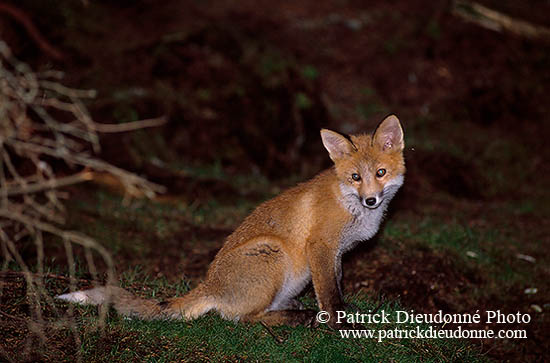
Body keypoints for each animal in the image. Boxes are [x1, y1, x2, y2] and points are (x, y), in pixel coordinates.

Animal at [58, 114, 408, 330]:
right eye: (355, 177)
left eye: (380, 173)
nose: (371, 200)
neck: (349, 204)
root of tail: (210, 285)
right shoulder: (320, 246)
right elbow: (330, 296)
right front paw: (340, 326)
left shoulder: (335, 254)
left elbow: (337, 287)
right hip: (273, 252)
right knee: (243, 318)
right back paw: (296, 319)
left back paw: (294, 309)